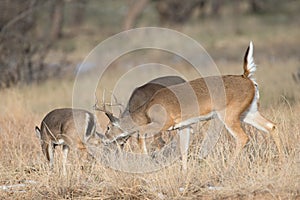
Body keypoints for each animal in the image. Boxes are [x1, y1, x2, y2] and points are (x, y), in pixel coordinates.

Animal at [103, 41, 282, 170]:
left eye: (108, 127)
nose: (105, 140)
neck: (147, 108)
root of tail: (246, 78)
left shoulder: (162, 124)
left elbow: (141, 134)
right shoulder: (184, 127)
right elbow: (183, 150)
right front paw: (184, 172)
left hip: (229, 116)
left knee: (243, 138)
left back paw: (227, 168)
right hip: (249, 113)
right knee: (271, 126)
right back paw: (282, 160)